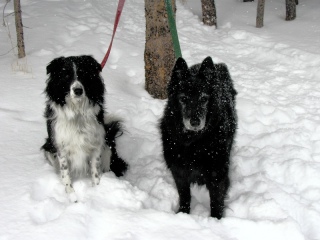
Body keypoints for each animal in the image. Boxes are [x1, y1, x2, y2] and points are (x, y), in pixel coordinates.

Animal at [41, 54, 127, 201]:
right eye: (66, 75)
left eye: (84, 74)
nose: (78, 90)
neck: (77, 112)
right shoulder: (61, 146)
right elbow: (65, 173)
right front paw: (71, 195)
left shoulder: (96, 144)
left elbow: (95, 172)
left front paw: (97, 191)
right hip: (49, 147)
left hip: (108, 145)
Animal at [160, 56, 238, 219]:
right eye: (183, 98)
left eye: (203, 99)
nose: (195, 122)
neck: (194, 141)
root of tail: (218, 65)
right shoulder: (179, 171)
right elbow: (184, 196)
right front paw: (183, 215)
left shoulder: (217, 175)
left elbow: (216, 202)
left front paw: (216, 221)